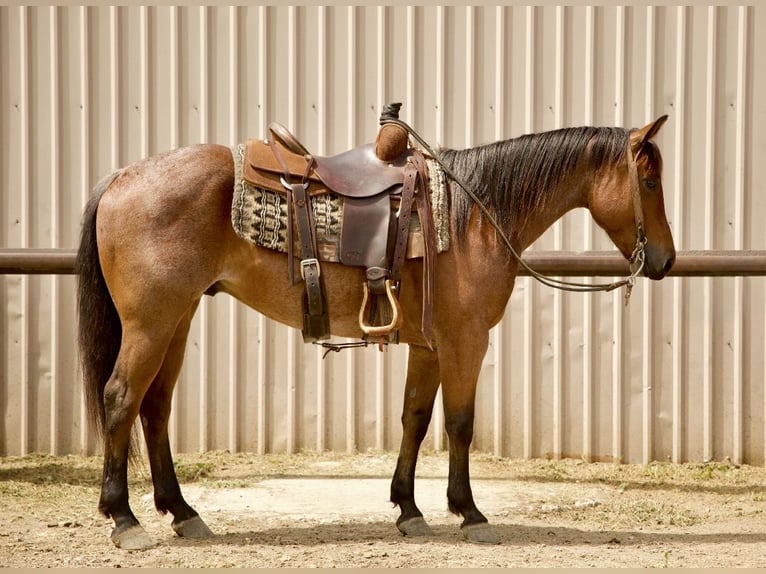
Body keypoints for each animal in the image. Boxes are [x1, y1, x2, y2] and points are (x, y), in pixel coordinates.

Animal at [75, 115, 675, 550]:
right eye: (648, 181)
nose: (666, 261)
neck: (473, 215)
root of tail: (122, 177)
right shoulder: (466, 342)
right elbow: (460, 424)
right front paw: (470, 512)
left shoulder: (429, 347)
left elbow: (415, 419)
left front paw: (409, 509)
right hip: (151, 323)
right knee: (121, 399)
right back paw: (125, 520)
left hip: (176, 321)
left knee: (155, 408)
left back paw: (183, 513)